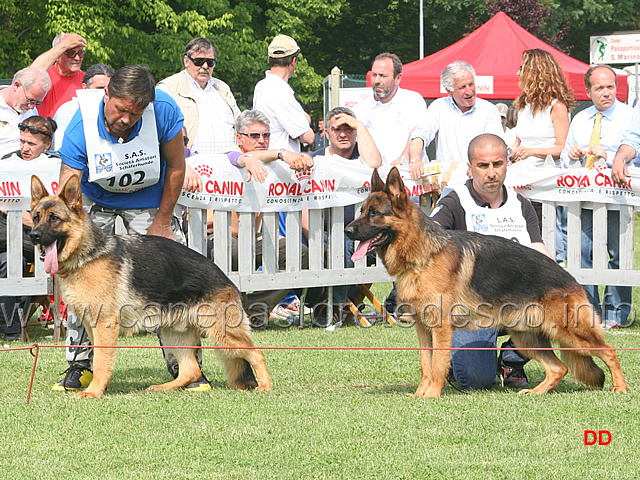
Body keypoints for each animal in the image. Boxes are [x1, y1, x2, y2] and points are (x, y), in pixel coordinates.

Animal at [29, 175, 270, 398]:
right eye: (36, 217)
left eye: (54, 218)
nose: (33, 236)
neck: (87, 254)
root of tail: (227, 279)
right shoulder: (89, 324)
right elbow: (94, 357)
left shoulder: (105, 324)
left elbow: (101, 361)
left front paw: (94, 391)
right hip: (175, 332)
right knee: (190, 370)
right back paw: (163, 387)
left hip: (221, 333)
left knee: (257, 353)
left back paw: (265, 386)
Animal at [348, 169, 628, 398]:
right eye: (361, 211)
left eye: (374, 213)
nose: (347, 231)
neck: (422, 256)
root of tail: (571, 280)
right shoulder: (423, 329)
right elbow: (425, 364)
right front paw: (419, 394)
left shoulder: (440, 328)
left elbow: (437, 365)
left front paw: (431, 395)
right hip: (527, 337)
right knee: (559, 367)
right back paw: (536, 392)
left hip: (570, 332)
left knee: (609, 351)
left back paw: (620, 388)